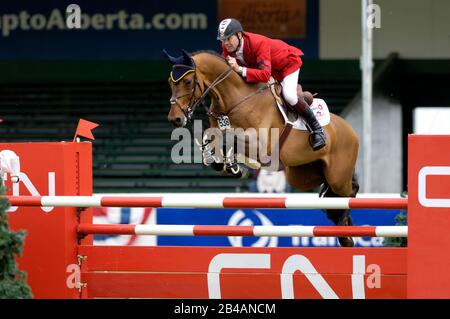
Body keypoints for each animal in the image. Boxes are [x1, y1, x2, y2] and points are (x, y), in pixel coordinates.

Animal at [163, 49, 360, 248]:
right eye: (170, 83)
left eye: (188, 82)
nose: (175, 119)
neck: (233, 99)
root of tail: (350, 129)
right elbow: (211, 139)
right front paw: (224, 164)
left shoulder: (262, 146)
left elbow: (229, 140)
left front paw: (233, 165)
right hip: (304, 175)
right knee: (340, 193)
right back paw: (344, 228)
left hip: (336, 176)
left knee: (348, 192)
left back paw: (344, 234)